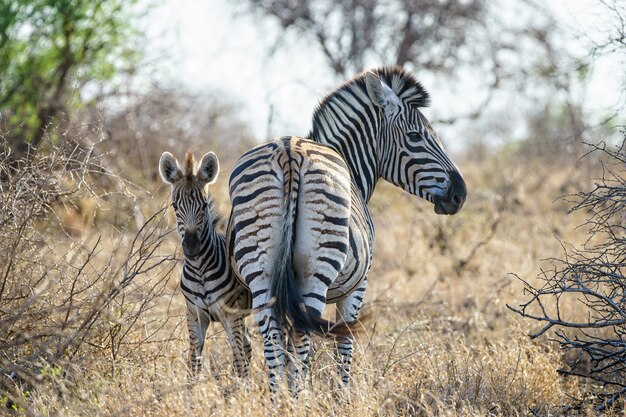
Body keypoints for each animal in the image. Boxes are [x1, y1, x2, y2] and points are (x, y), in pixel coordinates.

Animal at [158, 150, 251, 380]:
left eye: (204, 205)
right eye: (175, 206)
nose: (192, 248)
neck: (200, 270)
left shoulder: (231, 314)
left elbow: (238, 362)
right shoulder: (194, 315)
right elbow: (193, 364)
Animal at [227, 66, 466, 390]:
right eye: (415, 136)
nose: (460, 194)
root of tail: (289, 152)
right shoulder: (357, 287)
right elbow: (344, 346)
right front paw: (341, 393)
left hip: (260, 270)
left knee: (274, 342)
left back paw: (280, 398)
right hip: (315, 271)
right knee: (301, 341)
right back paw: (300, 398)